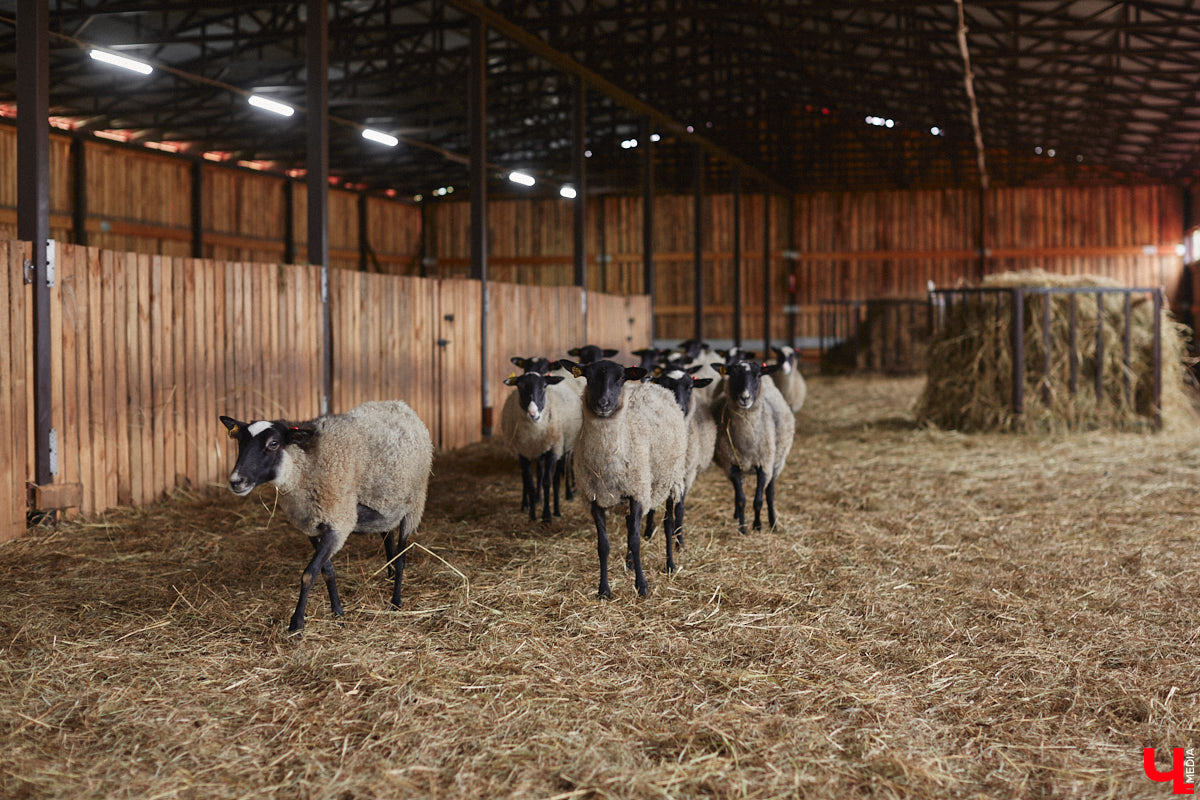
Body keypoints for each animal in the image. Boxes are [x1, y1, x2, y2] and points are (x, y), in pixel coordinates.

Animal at [222, 402, 436, 633]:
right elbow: (327, 571)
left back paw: (396, 601)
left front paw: (296, 623)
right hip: (386, 506)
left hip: (413, 506)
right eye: (240, 442)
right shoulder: (311, 526)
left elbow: (309, 573)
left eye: (273, 443)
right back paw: (389, 575)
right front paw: (338, 614)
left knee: (402, 556)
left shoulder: (338, 524)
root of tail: (400, 405)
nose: (236, 482)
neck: (306, 467)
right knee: (388, 539)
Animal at [496, 371, 580, 522]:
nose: (533, 413)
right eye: (520, 386)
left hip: (564, 445)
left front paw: (546, 515)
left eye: (544, 386)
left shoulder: (553, 450)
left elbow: (547, 482)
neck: (534, 432)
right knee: (534, 475)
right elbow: (530, 484)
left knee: (559, 475)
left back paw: (561, 503)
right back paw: (532, 502)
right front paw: (532, 515)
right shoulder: (523, 452)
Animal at [710, 359, 796, 534]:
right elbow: (741, 499)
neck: (747, 441)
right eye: (733, 374)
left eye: (757, 375)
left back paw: (773, 523)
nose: (745, 398)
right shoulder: (732, 466)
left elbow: (758, 501)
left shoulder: (764, 465)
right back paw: (737, 515)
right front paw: (742, 528)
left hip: (777, 463)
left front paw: (757, 525)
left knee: (769, 492)